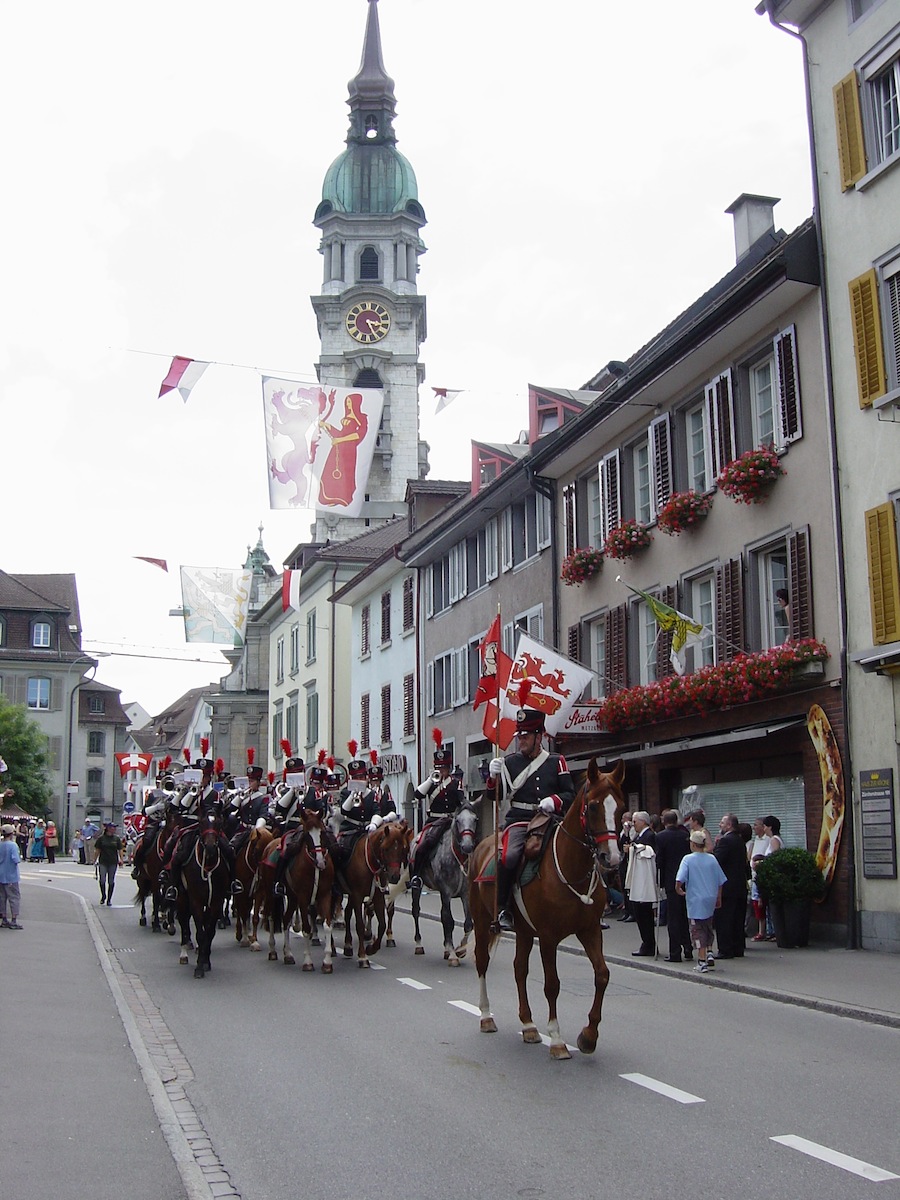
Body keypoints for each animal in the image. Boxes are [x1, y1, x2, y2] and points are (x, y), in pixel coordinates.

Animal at [174, 816, 232, 974]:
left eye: (218, 823)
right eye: (201, 822)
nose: (210, 847)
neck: (208, 866)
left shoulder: (216, 901)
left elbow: (209, 932)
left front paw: (206, 961)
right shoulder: (196, 901)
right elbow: (200, 933)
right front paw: (199, 966)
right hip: (182, 898)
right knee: (183, 923)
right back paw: (183, 954)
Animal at [232, 820, 274, 950]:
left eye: (270, 851)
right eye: (258, 850)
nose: (263, 873)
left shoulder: (259, 892)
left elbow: (255, 917)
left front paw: (254, 941)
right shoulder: (241, 892)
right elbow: (242, 914)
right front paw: (245, 939)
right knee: (239, 911)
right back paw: (239, 933)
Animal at [340, 820, 415, 969]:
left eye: (403, 849)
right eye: (385, 848)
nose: (394, 876)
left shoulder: (379, 895)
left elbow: (383, 923)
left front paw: (372, 948)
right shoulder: (357, 896)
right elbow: (360, 925)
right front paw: (363, 956)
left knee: (347, 912)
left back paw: (348, 945)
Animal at [410, 796, 480, 964]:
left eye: (475, 819)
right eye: (458, 820)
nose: (467, 846)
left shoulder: (465, 893)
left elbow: (468, 924)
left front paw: (459, 949)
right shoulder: (445, 891)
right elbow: (449, 920)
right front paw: (454, 955)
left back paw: (446, 949)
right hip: (417, 886)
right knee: (416, 910)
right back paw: (419, 944)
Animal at [468, 758, 624, 1060]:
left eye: (620, 807)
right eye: (593, 806)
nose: (611, 858)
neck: (571, 868)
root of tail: (483, 844)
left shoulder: (590, 931)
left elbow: (602, 975)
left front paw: (589, 1036)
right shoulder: (549, 938)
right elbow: (552, 984)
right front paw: (557, 1039)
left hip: (524, 930)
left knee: (519, 969)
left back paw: (528, 1025)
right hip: (482, 921)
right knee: (482, 962)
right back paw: (486, 1016)